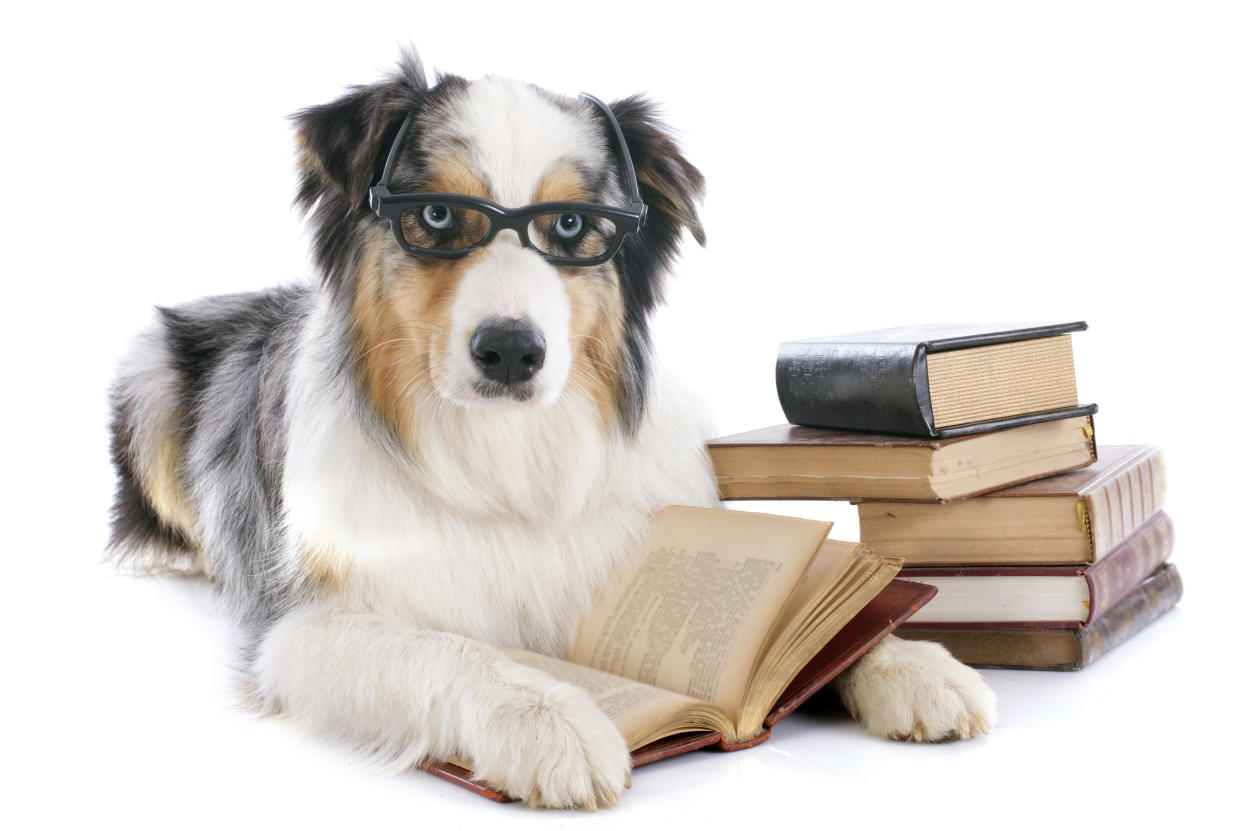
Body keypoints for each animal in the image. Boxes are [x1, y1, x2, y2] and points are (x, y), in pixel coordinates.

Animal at [109, 53, 998, 809]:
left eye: (570, 227)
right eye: (439, 215)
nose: (511, 349)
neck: (506, 450)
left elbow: (818, 621)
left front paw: (907, 661)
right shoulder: (298, 626)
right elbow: (455, 649)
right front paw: (553, 720)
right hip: (148, 374)